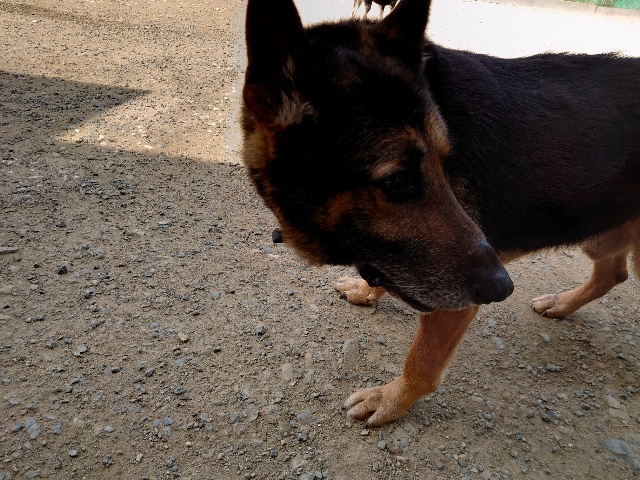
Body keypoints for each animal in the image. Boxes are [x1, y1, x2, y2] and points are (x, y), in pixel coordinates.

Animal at [242, 0, 640, 426]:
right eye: (397, 180)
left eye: (447, 163)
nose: (503, 288)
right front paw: (367, 290)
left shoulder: (453, 301)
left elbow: (421, 365)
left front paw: (390, 400)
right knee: (612, 274)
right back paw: (562, 304)